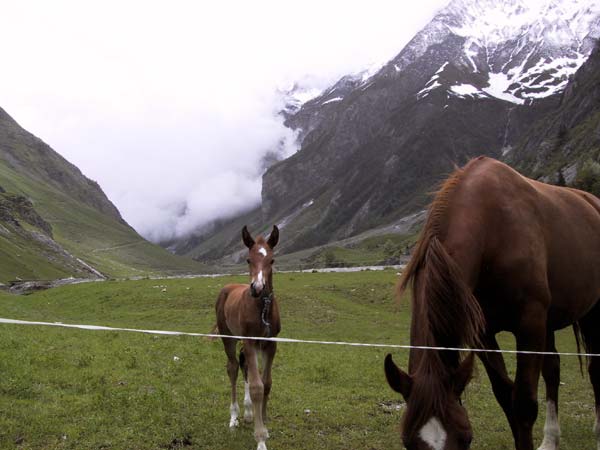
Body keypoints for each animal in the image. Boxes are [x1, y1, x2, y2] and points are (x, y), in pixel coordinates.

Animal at [216, 225, 282, 450]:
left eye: (272, 260)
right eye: (247, 260)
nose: (257, 288)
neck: (263, 309)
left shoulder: (271, 344)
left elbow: (267, 383)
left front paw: (264, 421)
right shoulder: (250, 341)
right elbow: (256, 387)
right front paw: (260, 438)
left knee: (243, 364)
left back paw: (247, 413)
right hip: (228, 337)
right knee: (233, 367)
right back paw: (234, 417)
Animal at [384, 156, 600, 450]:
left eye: (465, 439)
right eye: (408, 443)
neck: (494, 230)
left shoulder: (530, 323)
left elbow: (523, 405)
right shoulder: (484, 333)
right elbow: (505, 395)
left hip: (592, 313)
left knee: (595, 368)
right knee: (553, 370)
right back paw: (550, 439)